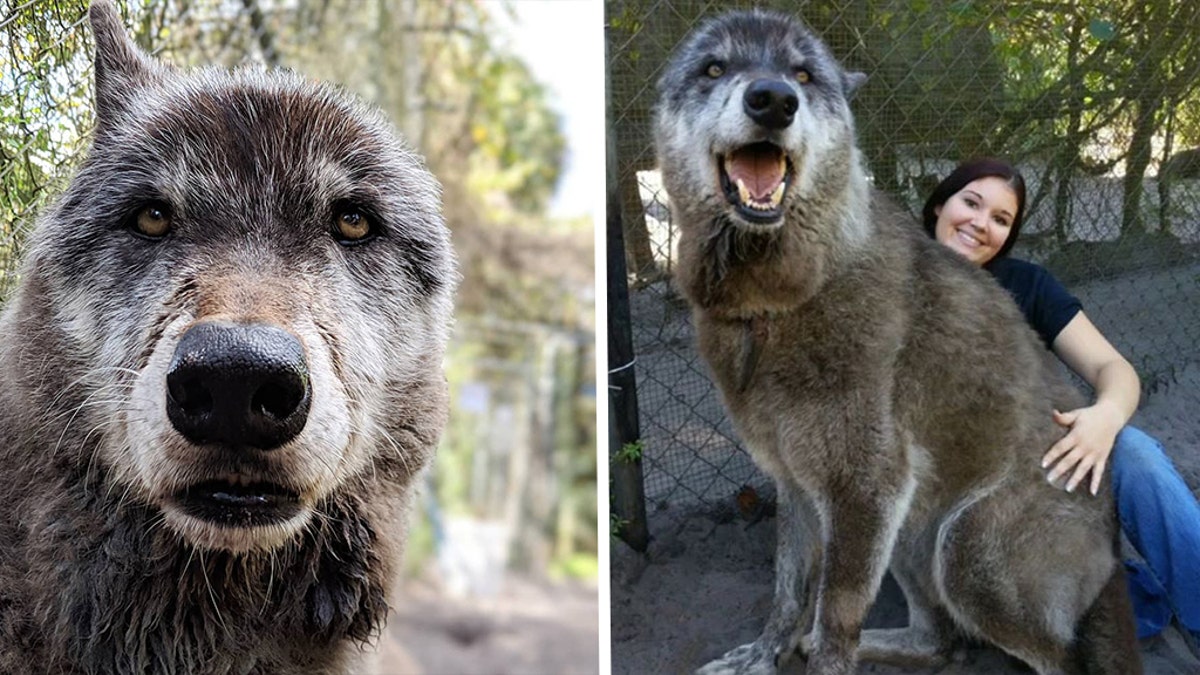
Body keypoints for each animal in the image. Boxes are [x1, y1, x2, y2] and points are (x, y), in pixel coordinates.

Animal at [654, 10, 1141, 675]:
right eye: (713, 68)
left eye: (803, 75)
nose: (773, 100)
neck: (775, 302)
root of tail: (1113, 547)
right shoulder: (796, 484)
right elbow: (789, 593)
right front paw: (763, 655)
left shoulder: (865, 488)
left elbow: (834, 618)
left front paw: (817, 654)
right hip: (914, 530)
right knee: (942, 642)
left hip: (965, 552)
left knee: (1052, 658)